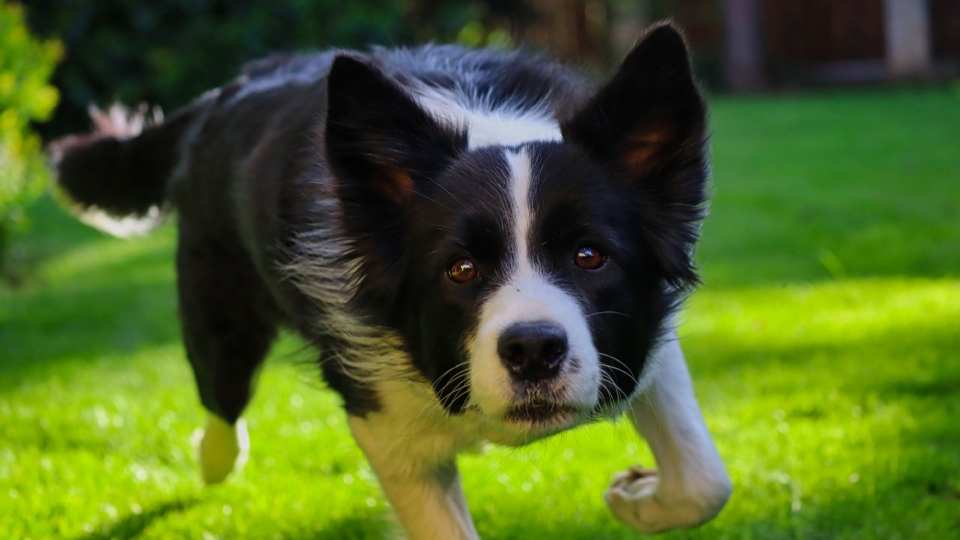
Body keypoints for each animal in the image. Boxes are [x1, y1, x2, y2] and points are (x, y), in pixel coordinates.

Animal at [54, 23, 728, 536]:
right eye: (461, 269)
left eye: (590, 256)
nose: (534, 351)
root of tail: (225, 93)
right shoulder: (381, 418)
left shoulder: (641, 338)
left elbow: (705, 481)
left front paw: (637, 499)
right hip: (218, 318)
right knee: (222, 405)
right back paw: (213, 458)